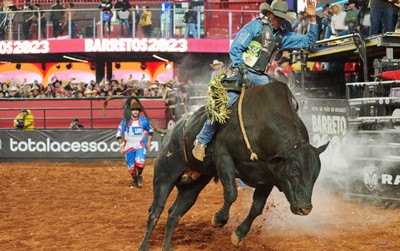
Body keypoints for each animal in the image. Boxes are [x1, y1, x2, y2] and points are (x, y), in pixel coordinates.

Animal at [139, 82, 326, 249]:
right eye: (293, 169)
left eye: (315, 174)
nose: (305, 208)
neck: (261, 126)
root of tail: (172, 130)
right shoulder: (223, 158)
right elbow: (231, 193)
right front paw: (218, 219)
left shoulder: (268, 178)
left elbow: (257, 208)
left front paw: (238, 234)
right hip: (164, 175)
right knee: (155, 211)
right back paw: (144, 245)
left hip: (193, 185)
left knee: (174, 213)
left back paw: (167, 246)